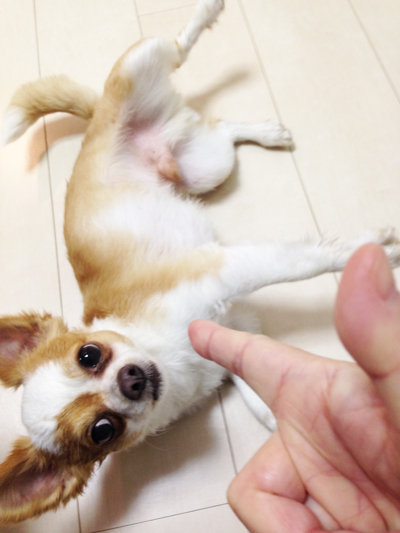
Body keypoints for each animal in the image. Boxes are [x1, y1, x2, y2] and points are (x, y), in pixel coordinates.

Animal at [0, 0, 399, 524]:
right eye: (102, 430)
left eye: (89, 354)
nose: (132, 379)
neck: (165, 355)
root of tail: (94, 123)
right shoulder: (232, 336)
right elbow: (255, 387)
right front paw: (278, 419)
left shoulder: (226, 271)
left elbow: (302, 261)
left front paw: (366, 250)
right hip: (206, 166)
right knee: (221, 129)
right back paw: (268, 132)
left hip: (138, 71)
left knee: (176, 46)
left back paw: (207, 13)